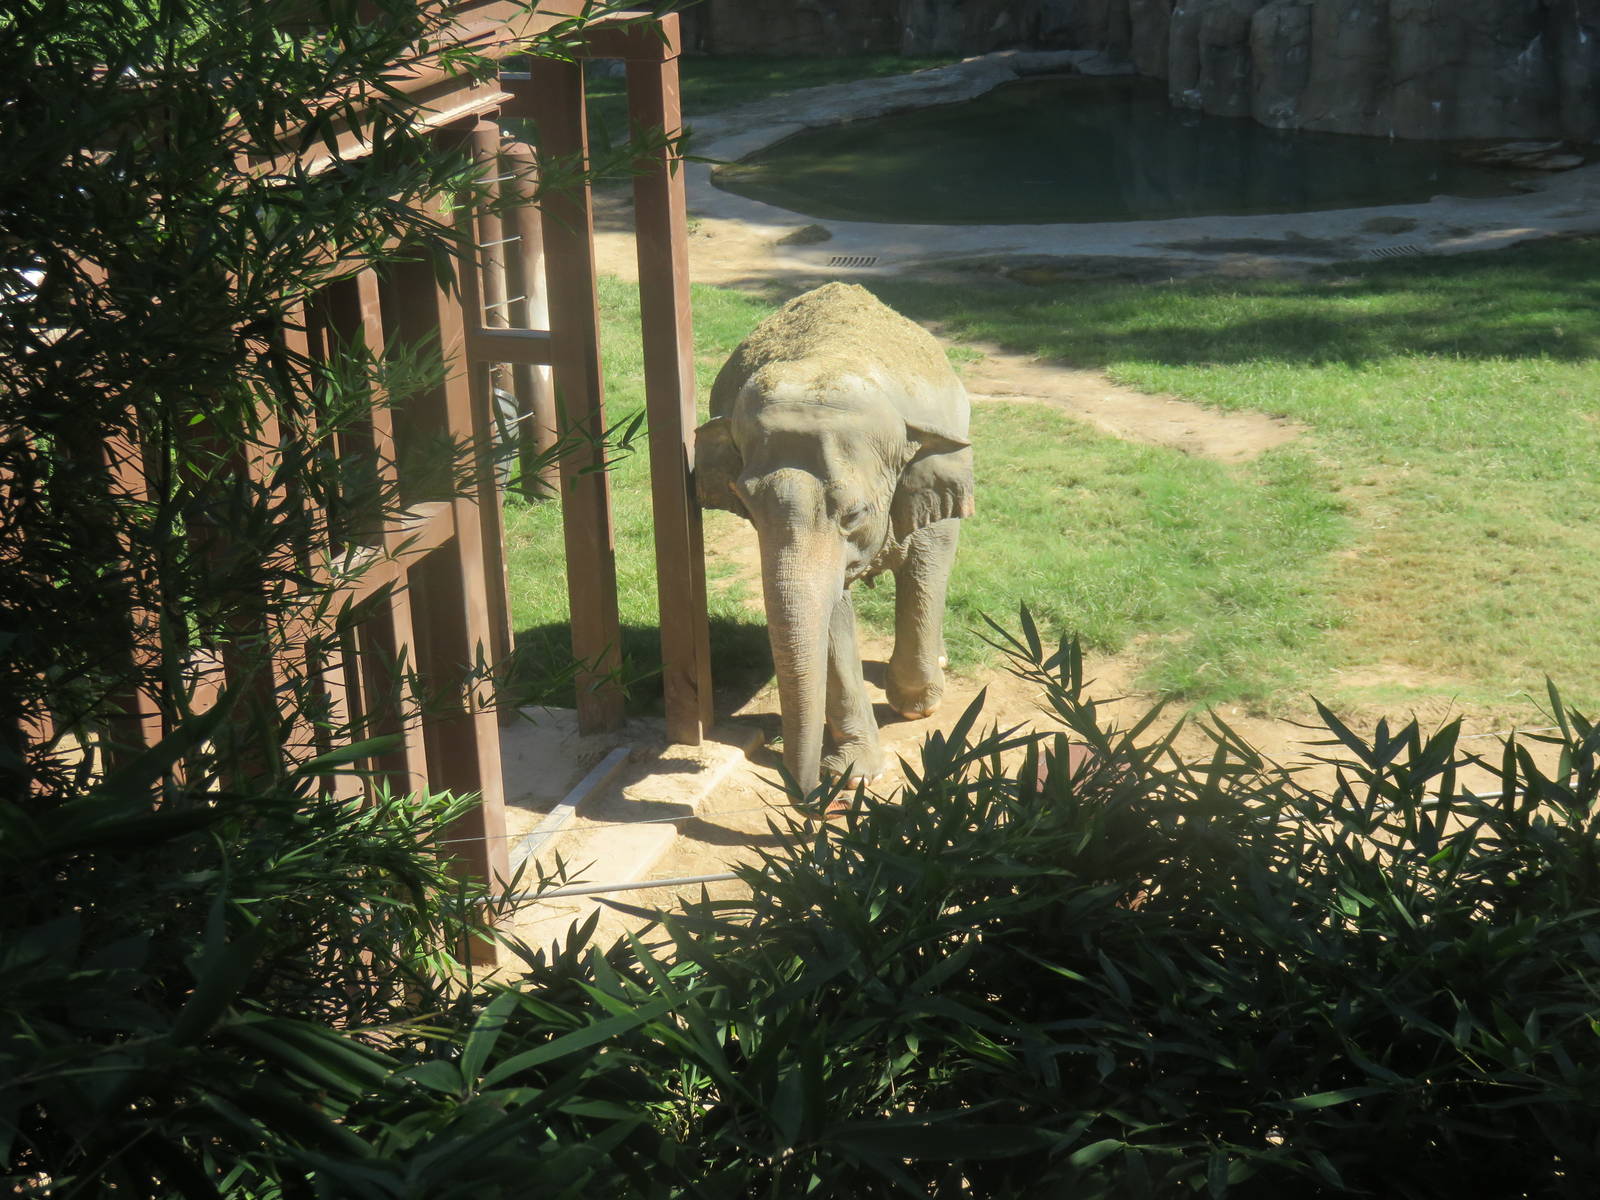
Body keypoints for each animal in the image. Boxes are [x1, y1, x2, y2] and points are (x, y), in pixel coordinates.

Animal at [694, 282, 974, 795]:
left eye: (855, 513)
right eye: (747, 507)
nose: (804, 792)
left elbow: (926, 569)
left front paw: (917, 704)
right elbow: (831, 612)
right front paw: (855, 773)